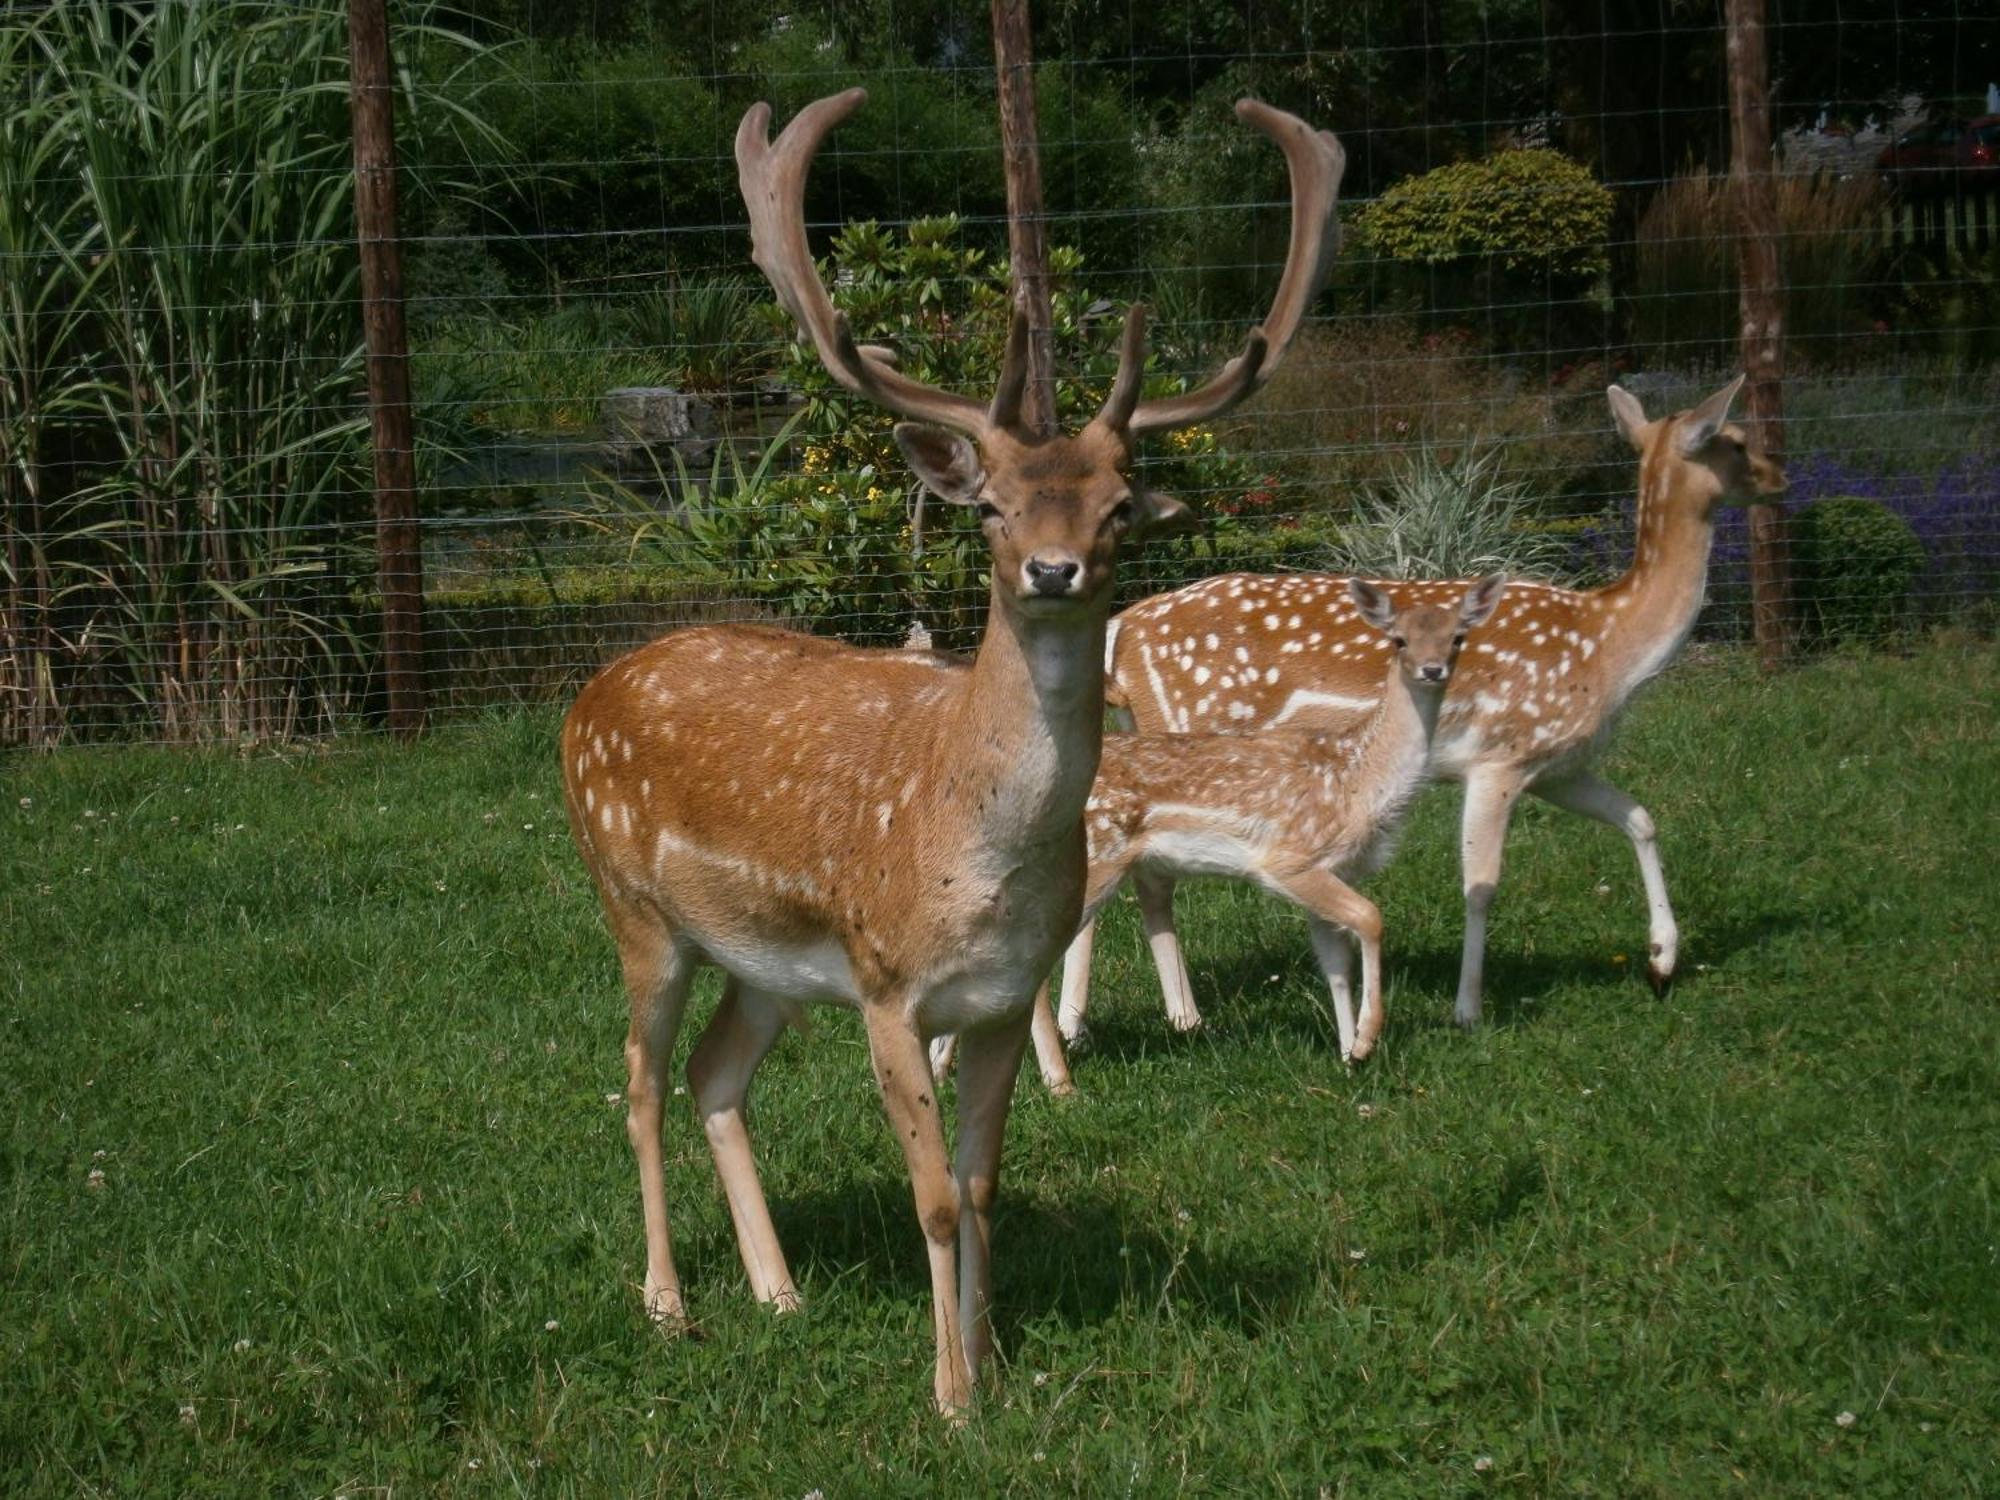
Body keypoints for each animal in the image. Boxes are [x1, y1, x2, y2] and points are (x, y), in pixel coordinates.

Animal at [564, 88, 1344, 1416]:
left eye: (1118, 504)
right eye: (988, 505)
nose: (1053, 570)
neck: (975, 859)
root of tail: (582, 697)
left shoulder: (996, 997)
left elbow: (980, 1187)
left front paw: (989, 1361)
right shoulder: (888, 985)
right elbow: (929, 1198)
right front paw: (948, 1396)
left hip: (767, 961)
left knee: (716, 1076)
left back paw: (777, 1289)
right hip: (634, 906)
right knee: (636, 1083)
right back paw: (668, 1303)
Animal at [1088, 376, 1792, 1032]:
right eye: (1735, 441)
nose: (1780, 478)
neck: (1610, 646)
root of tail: (1122, 628)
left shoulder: (1558, 766)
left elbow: (1640, 818)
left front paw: (1662, 963)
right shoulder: (1501, 754)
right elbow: (1481, 885)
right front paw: (1467, 1009)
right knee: (1138, 880)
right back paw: (1158, 1019)